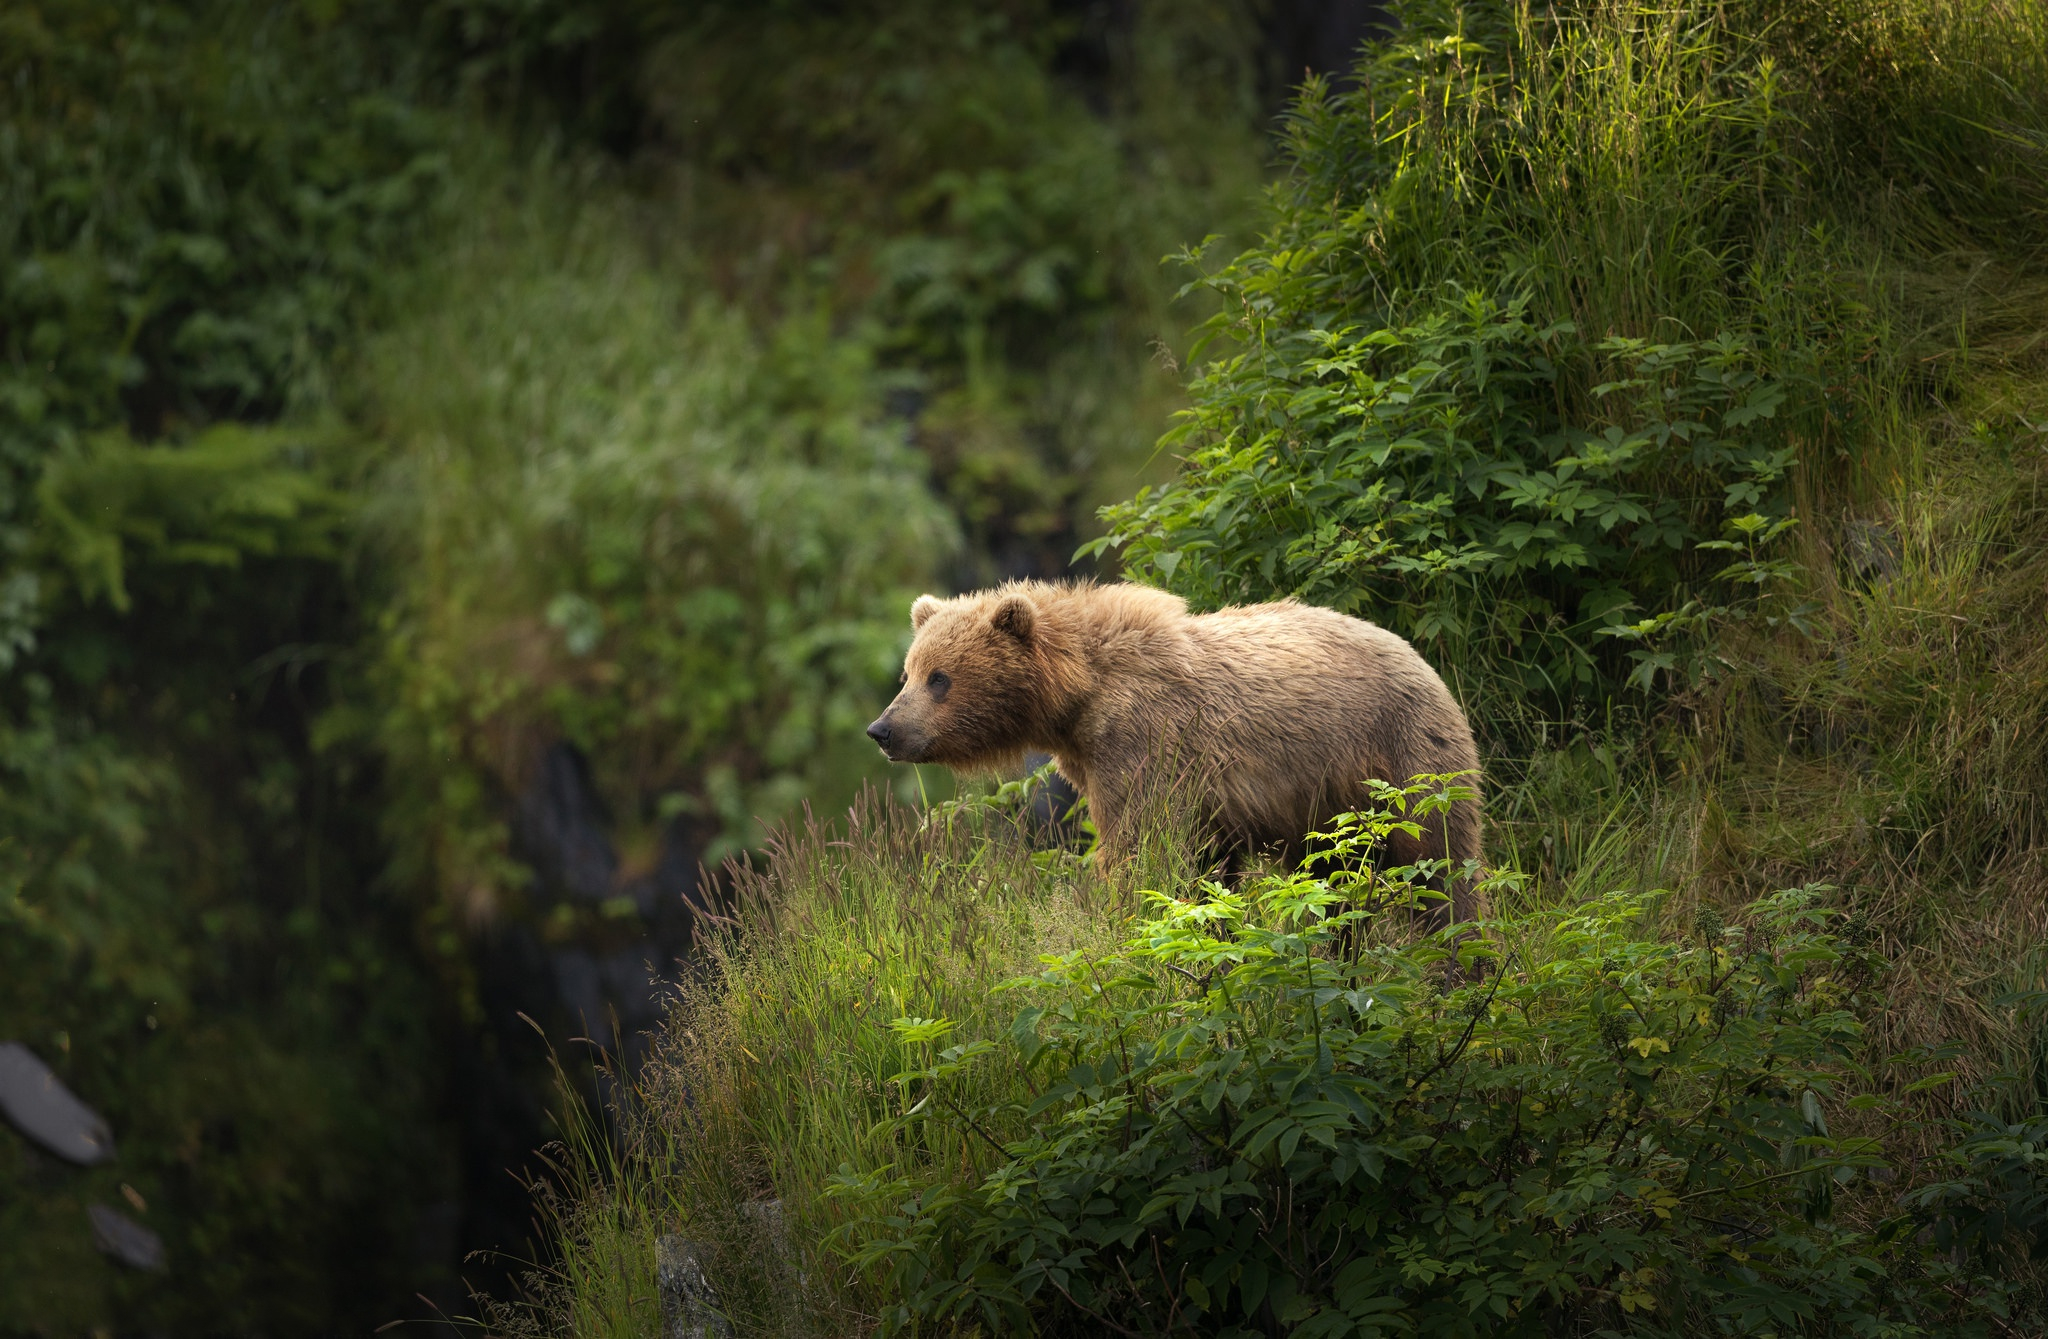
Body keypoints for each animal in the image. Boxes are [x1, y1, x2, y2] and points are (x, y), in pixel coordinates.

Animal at [868, 581, 1490, 929]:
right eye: (909, 673)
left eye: (940, 678)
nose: (883, 729)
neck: (1076, 696)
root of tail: (1424, 660)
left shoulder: (1144, 743)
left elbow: (1143, 854)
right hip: (1333, 809)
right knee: (1334, 883)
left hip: (1404, 760)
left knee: (1440, 866)